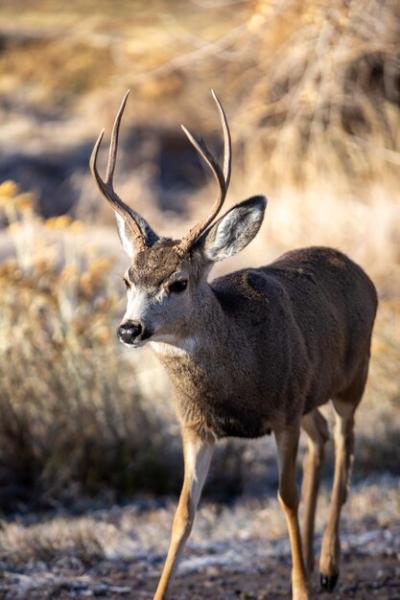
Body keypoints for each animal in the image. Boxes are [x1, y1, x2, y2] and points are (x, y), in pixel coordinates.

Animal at [90, 90, 378, 600]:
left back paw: (326, 567)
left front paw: (300, 588)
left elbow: (283, 496)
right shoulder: (195, 426)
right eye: (128, 279)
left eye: (178, 282)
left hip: (353, 376)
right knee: (323, 437)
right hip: (309, 396)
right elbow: (183, 514)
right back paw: (312, 558)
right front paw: (159, 592)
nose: (130, 329)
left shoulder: (282, 412)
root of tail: (354, 266)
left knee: (345, 449)